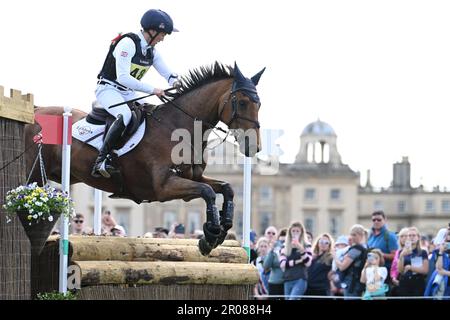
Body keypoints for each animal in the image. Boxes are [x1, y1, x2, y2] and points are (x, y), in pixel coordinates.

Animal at [23, 61, 264, 254]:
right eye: (242, 102)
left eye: (259, 104)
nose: (255, 146)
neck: (178, 128)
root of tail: (35, 110)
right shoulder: (163, 187)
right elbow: (208, 193)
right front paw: (211, 235)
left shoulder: (191, 179)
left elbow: (226, 188)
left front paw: (221, 229)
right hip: (34, 174)